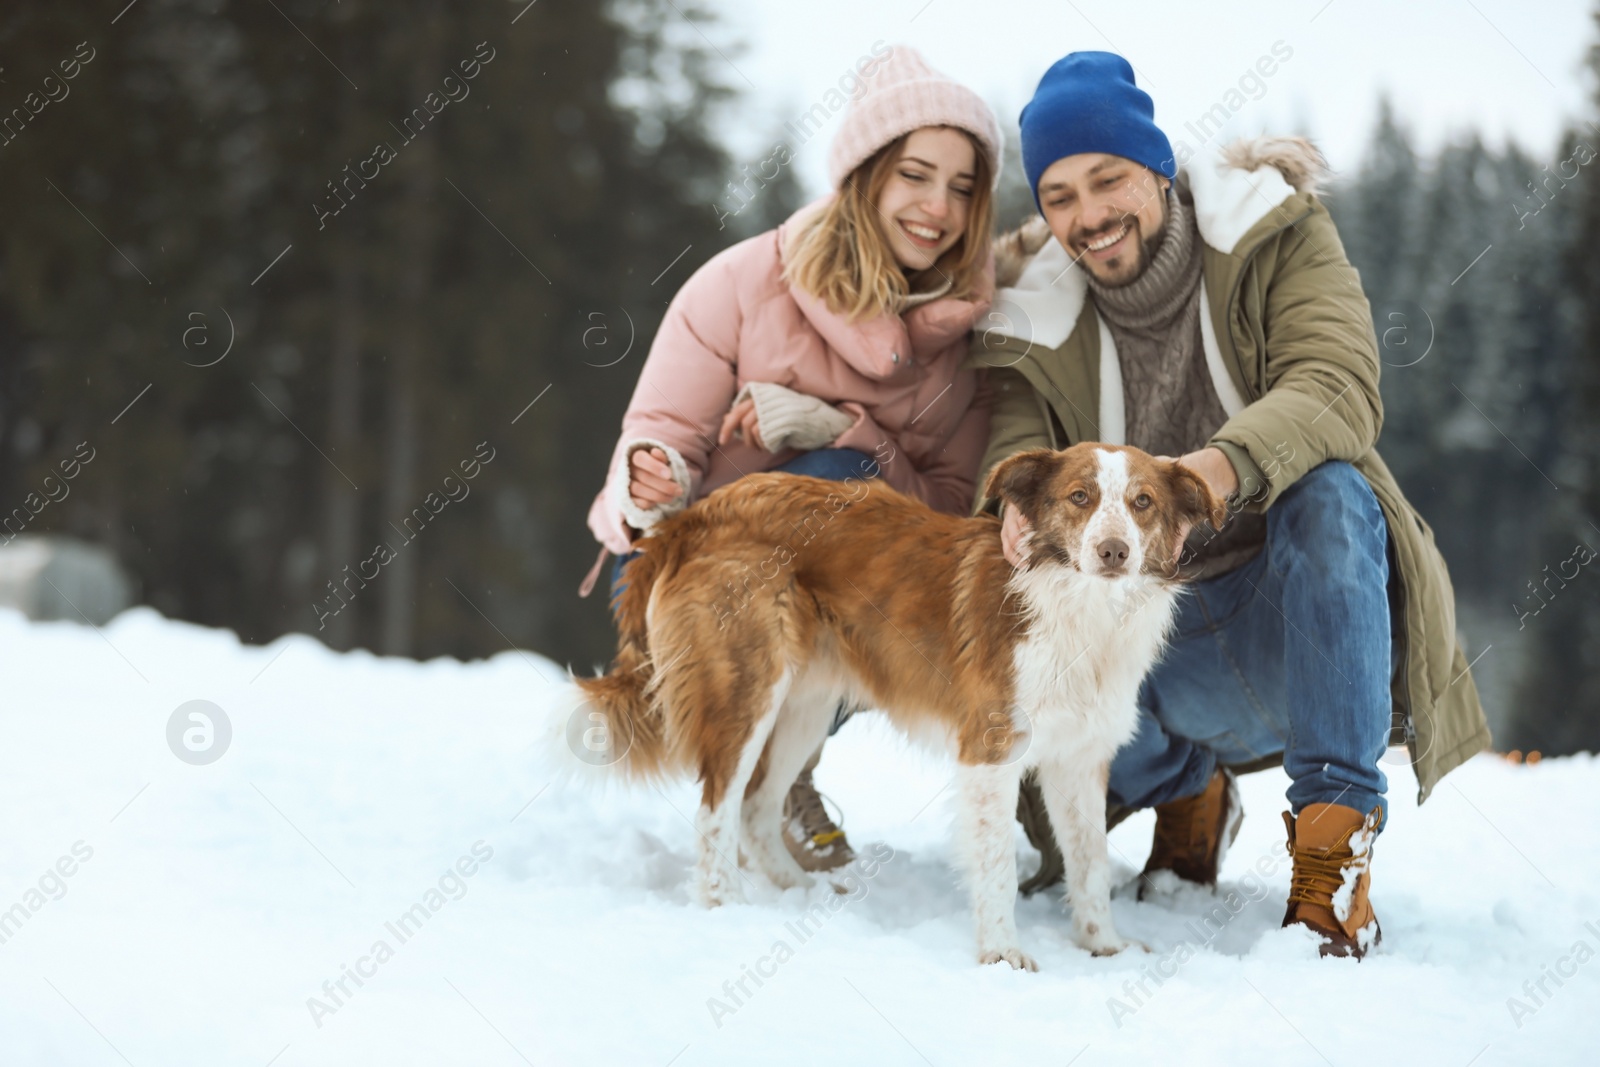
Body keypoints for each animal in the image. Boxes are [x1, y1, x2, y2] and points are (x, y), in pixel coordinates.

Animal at [566, 441, 1222, 966]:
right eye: (1080, 497)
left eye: (1142, 503)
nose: (1113, 551)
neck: (1079, 608)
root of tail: (694, 516)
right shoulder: (990, 751)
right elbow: (997, 868)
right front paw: (1001, 954)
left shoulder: (1080, 760)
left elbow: (1089, 864)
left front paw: (1102, 946)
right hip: (745, 692)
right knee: (715, 810)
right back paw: (725, 906)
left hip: (806, 705)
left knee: (755, 808)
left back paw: (794, 893)